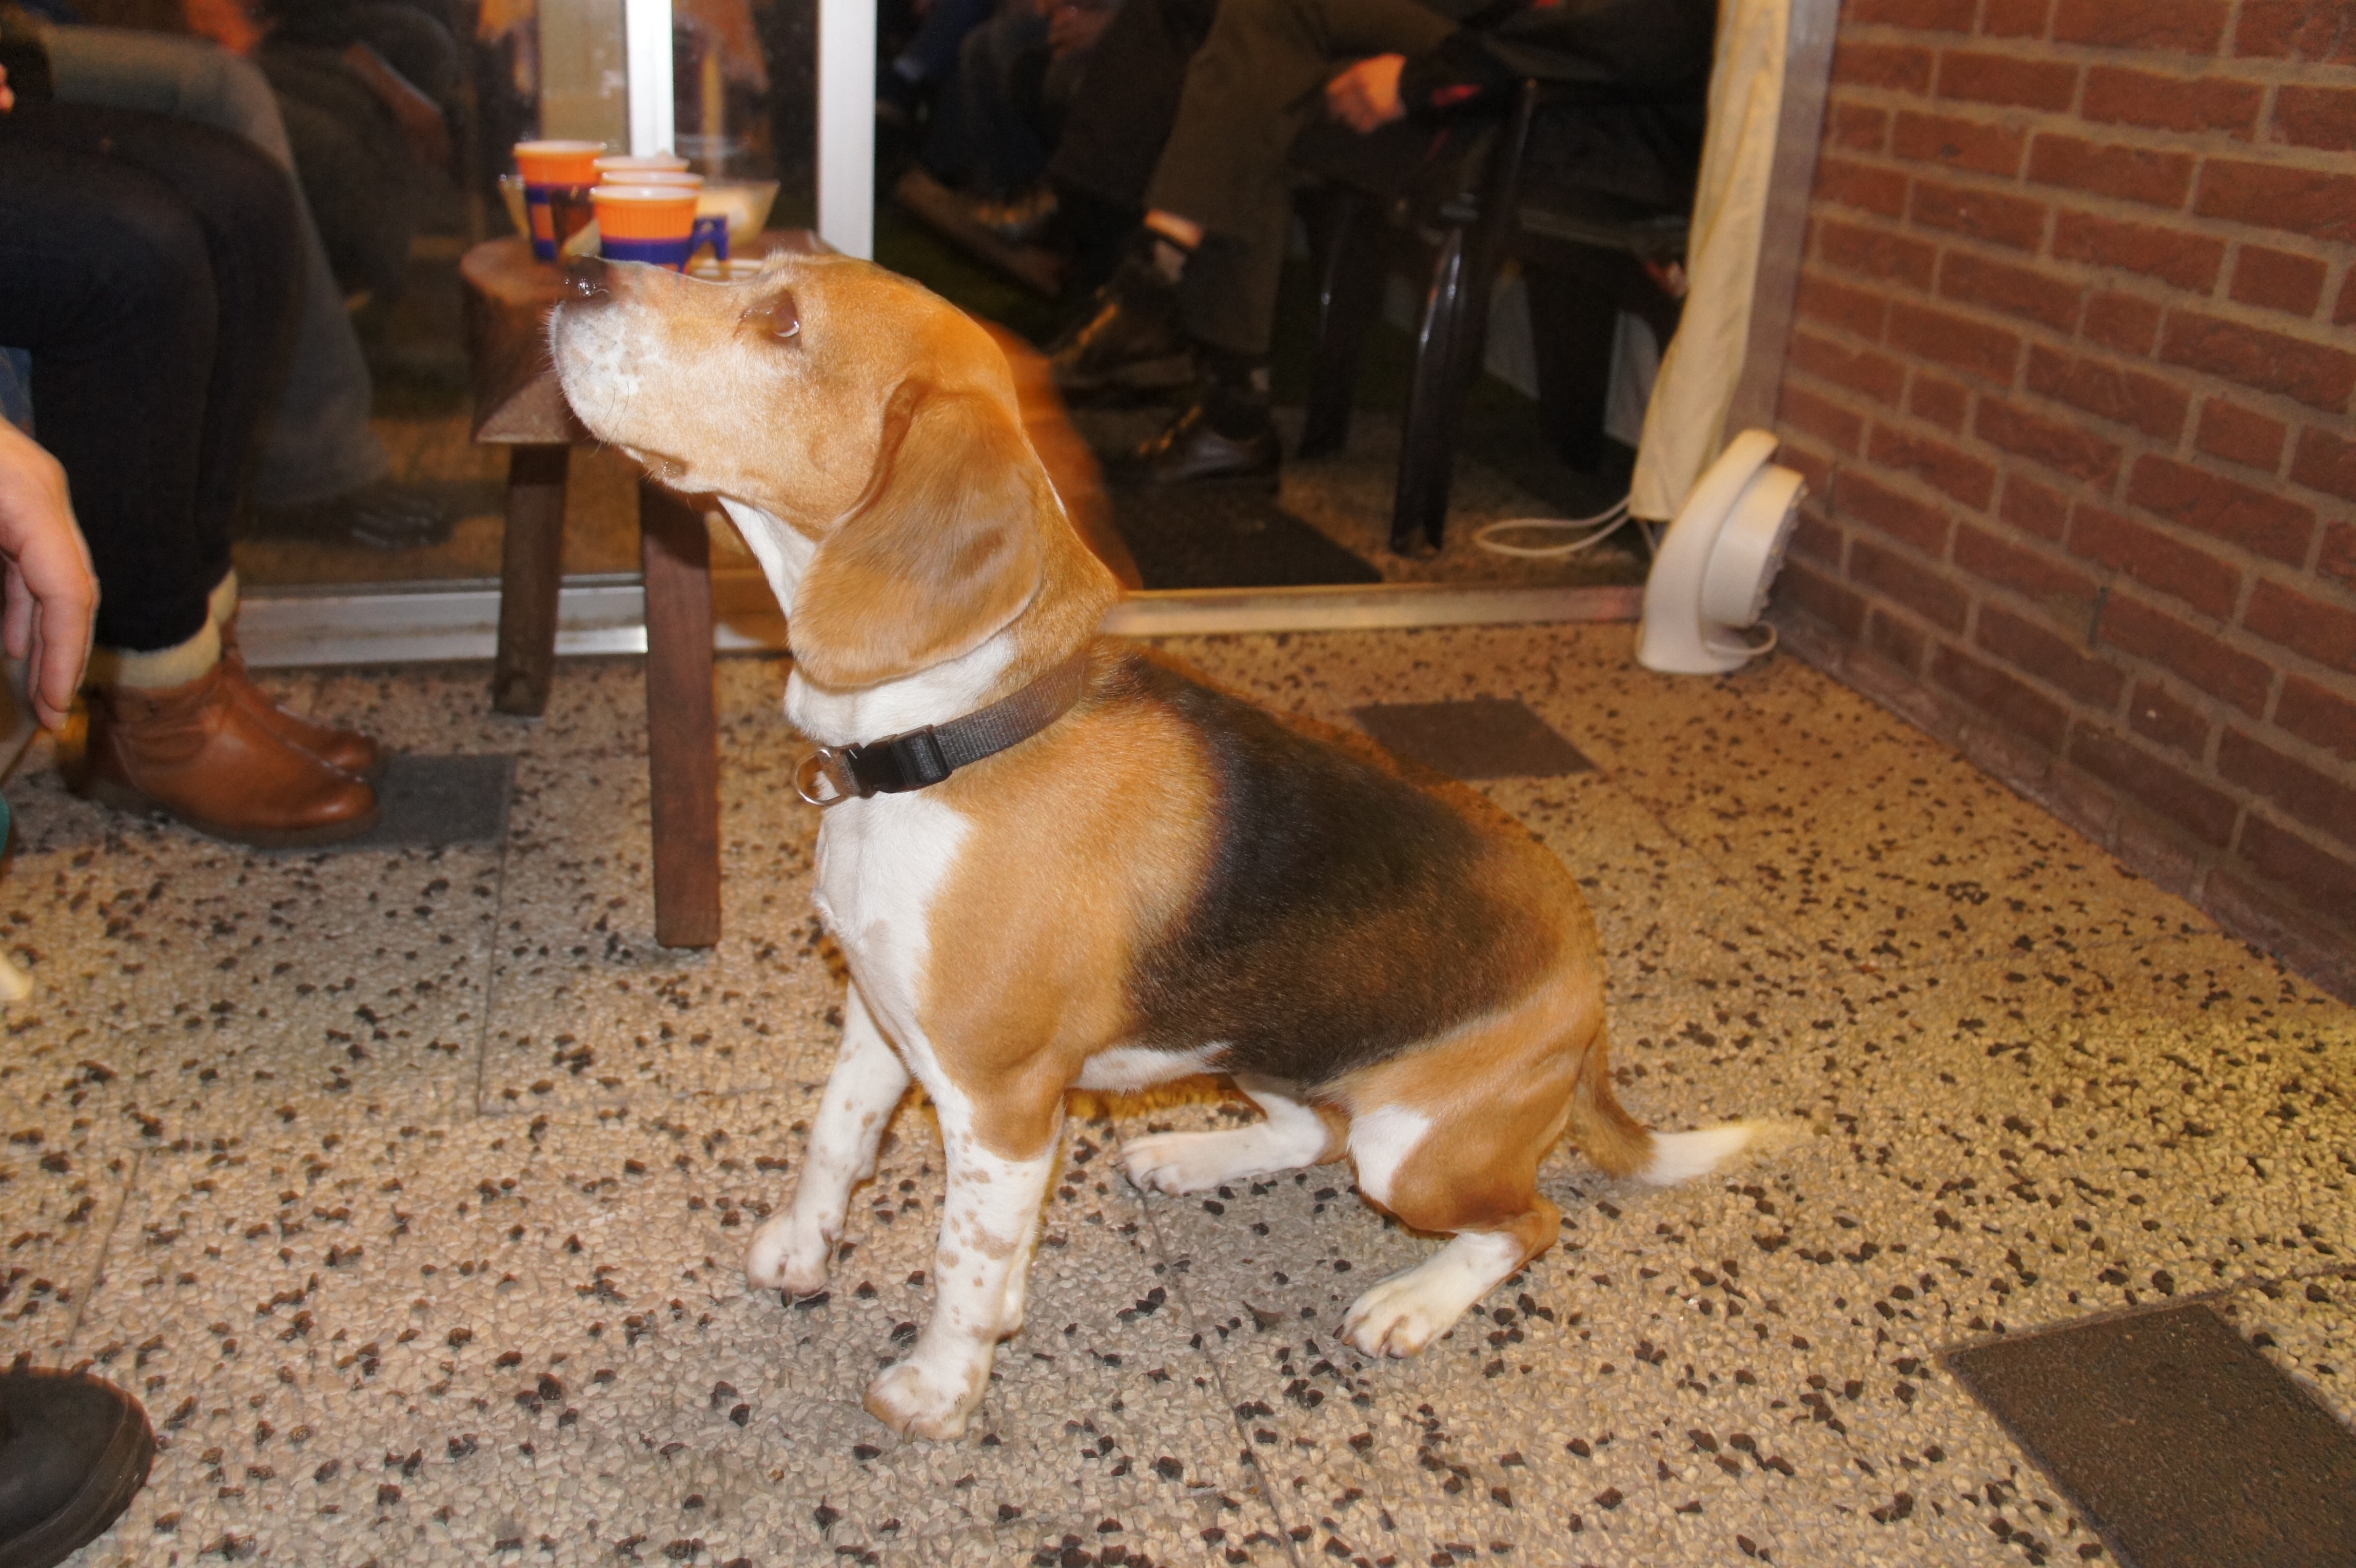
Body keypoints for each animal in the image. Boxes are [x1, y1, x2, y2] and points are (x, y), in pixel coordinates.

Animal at [550, 251, 1758, 1440]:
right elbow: (834, 1139)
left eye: (785, 324)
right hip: (1264, 1047)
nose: (577, 275)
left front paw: (940, 1387)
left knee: (1526, 1222)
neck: (948, 735)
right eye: (727, 263)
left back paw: (1413, 1301)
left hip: (1412, 1148)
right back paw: (1187, 1154)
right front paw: (805, 1250)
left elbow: (960, 1258)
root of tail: (1587, 987)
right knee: (1313, 1133)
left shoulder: (999, 1104)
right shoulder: (878, 1018)